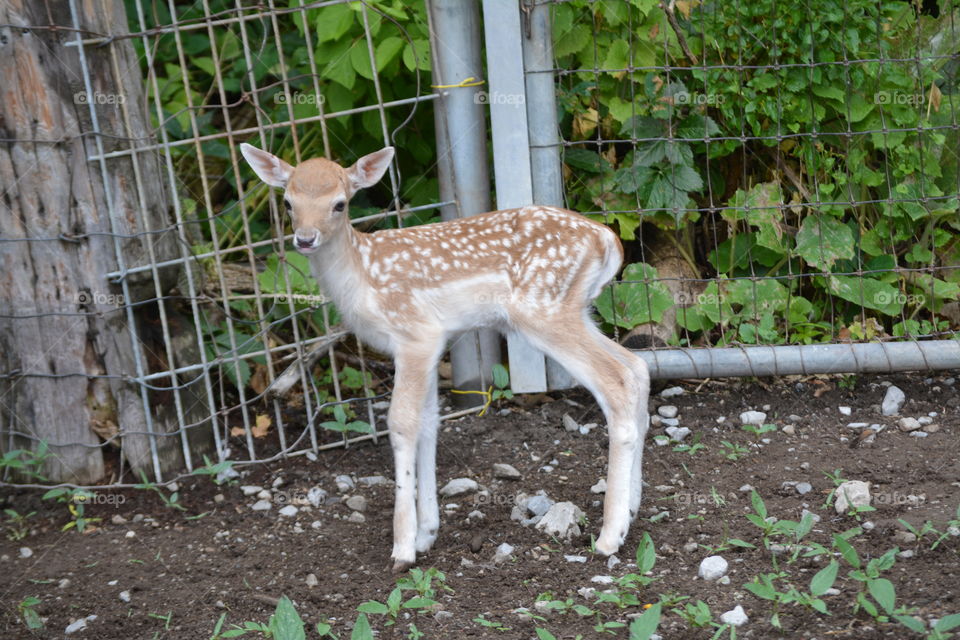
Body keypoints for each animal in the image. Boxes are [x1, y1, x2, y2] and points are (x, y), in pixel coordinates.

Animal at [240, 143, 651, 572]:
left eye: (340, 203)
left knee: (616, 381)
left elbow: (402, 423)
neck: (362, 279)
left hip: (543, 311)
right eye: (288, 202)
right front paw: (426, 535)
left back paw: (609, 537)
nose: (305, 239)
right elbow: (429, 424)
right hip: (575, 311)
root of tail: (609, 241)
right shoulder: (435, 344)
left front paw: (402, 548)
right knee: (637, 367)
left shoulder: (414, 335)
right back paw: (632, 512)